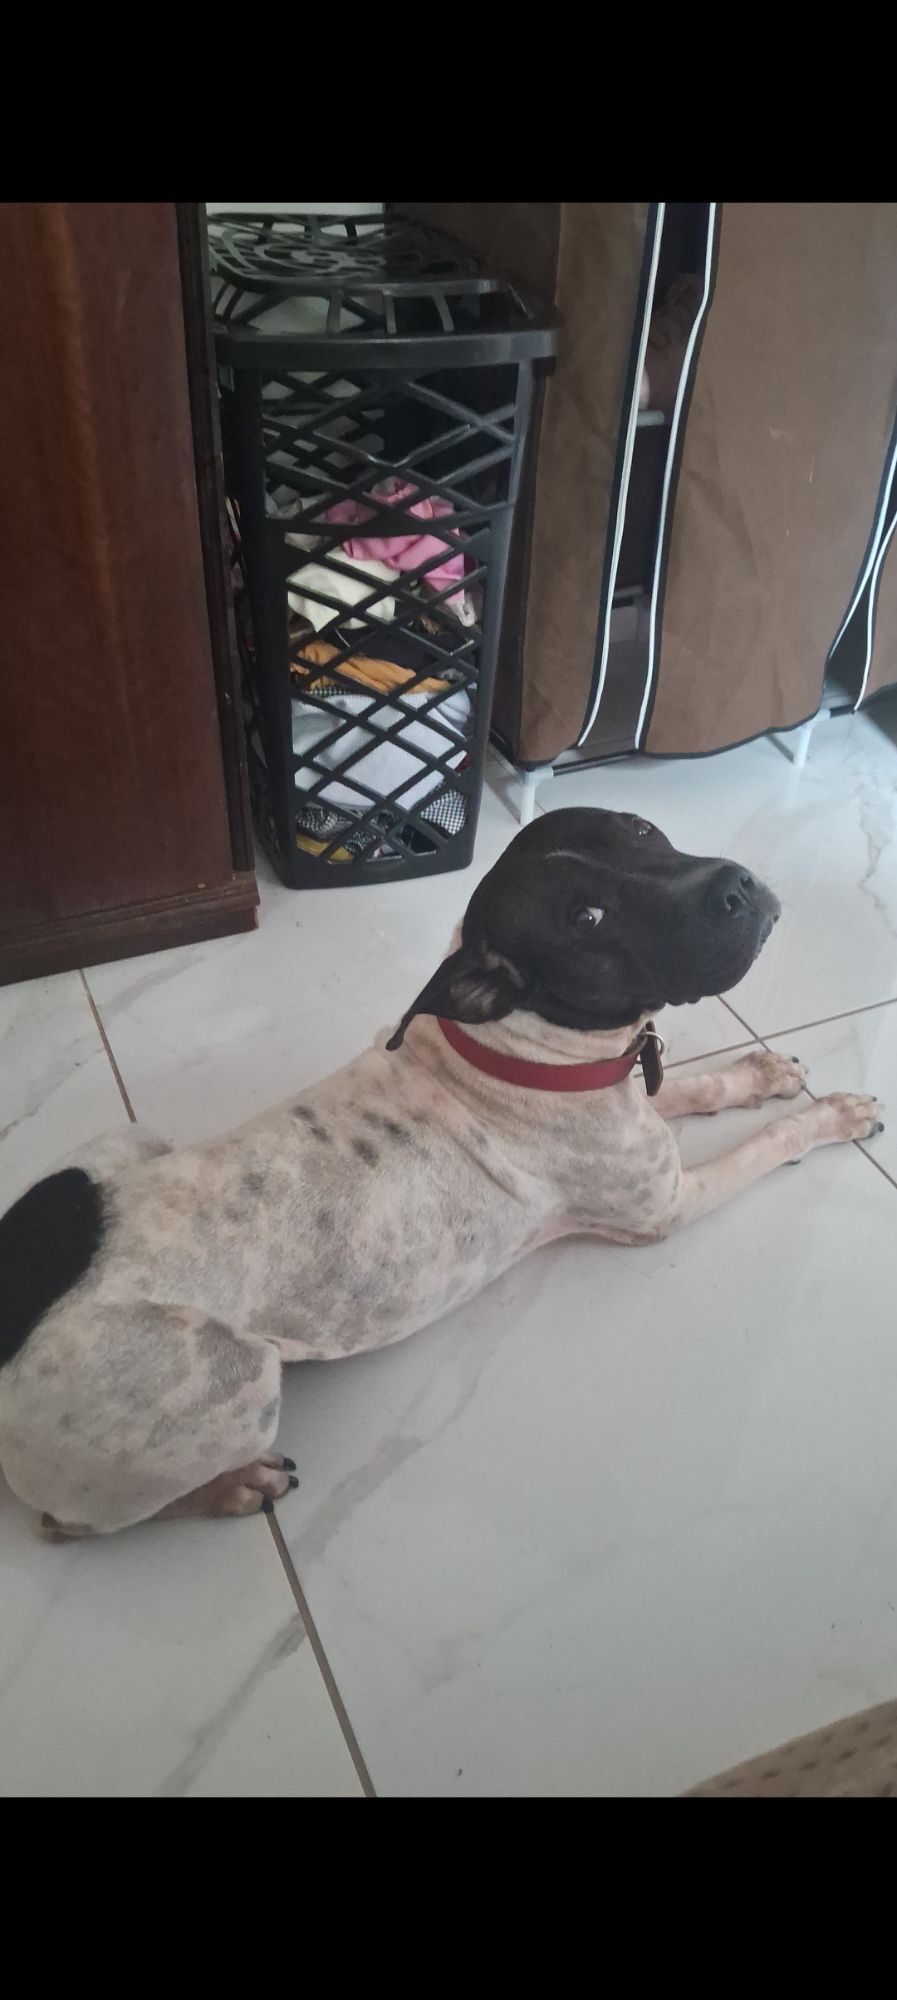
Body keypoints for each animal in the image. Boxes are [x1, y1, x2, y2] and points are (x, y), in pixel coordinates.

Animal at [0, 807, 883, 1538]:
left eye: (638, 829)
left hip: (119, 1146)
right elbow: (764, 1146)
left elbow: (698, 1085)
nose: (735, 884)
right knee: (69, 1524)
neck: (521, 1052)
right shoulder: (662, 1207)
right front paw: (831, 1116)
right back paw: (233, 1486)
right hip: (235, 1380)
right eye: (586, 918)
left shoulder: (639, 1101)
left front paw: (760, 1072)